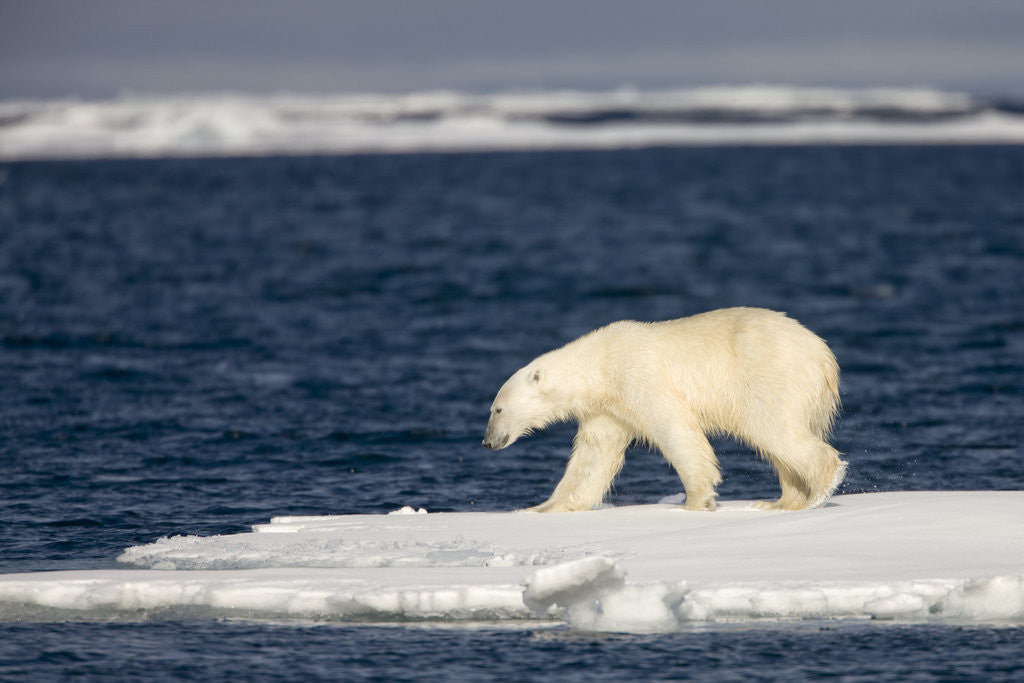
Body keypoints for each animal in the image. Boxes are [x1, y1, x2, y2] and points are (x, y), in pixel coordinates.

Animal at [482, 307, 845, 512]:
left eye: (497, 409)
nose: (487, 442)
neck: (600, 363)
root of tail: (824, 356)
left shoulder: (637, 376)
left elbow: (673, 428)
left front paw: (696, 500)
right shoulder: (607, 409)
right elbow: (593, 457)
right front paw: (540, 508)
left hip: (770, 375)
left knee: (772, 428)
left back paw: (817, 491)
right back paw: (780, 502)